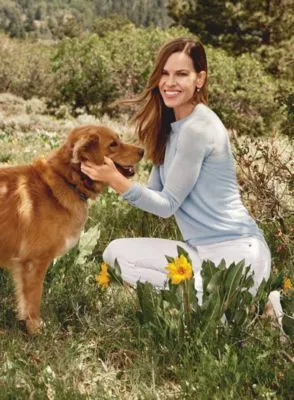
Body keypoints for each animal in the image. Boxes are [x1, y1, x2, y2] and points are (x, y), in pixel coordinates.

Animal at [0, 125, 144, 334]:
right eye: (113, 144)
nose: (143, 151)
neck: (66, 180)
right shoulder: (34, 262)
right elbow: (33, 299)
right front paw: (35, 328)